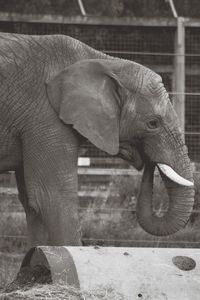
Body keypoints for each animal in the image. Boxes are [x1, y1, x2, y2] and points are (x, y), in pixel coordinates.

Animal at [0, 32, 194, 246]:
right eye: (153, 123)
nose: (150, 161)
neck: (104, 61)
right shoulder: (45, 116)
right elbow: (51, 199)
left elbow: (32, 205)